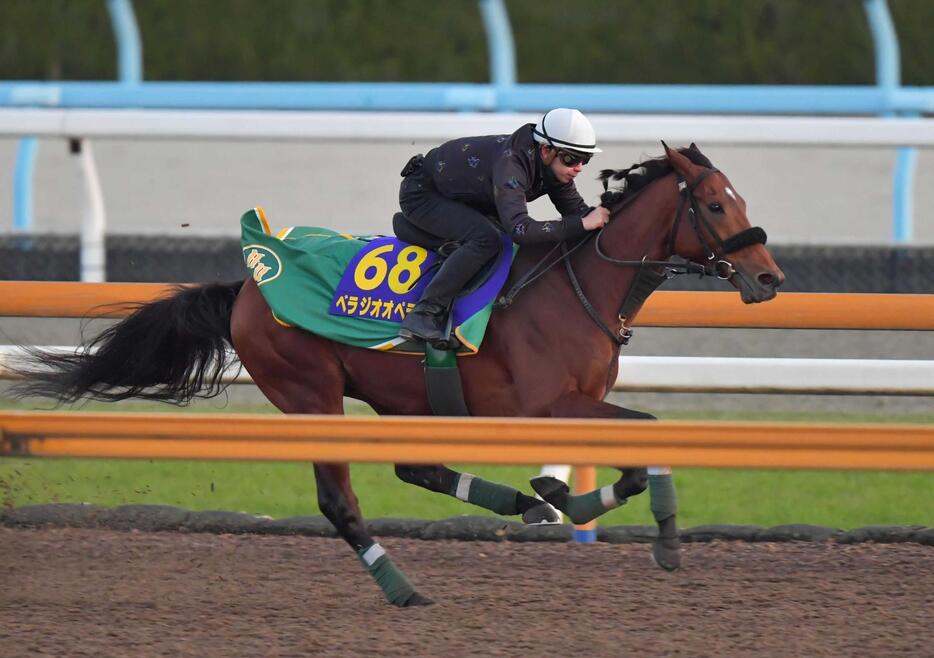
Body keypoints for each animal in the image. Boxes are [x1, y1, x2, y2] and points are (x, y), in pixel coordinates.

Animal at [18, 144, 788, 604]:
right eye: (714, 204)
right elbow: (649, 433)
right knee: (340, 500)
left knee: (415, 467)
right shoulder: (545, 405)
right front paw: (663, 537)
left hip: (401, 393)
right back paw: (398, 584)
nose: (769, 278)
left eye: (741, 201)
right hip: (311, 395)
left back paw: (519, 503)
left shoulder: (575, 404)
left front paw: (562, 497)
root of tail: (248, 283)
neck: (577, 285)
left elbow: (623, 457)